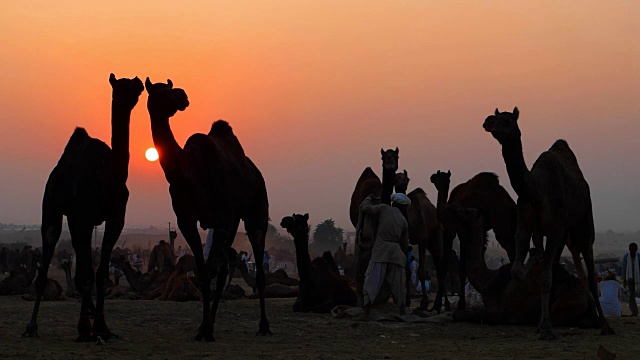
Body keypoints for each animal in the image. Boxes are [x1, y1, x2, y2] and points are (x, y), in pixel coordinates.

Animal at [145, 76, 270, 340]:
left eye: (170, 88)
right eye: (160, 91)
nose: (182, 95)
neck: (189, 174)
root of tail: (255, 171)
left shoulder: (221, 218)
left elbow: (210, 270)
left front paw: (206, 329)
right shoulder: (187, 221)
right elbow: (203, 272)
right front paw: (203, 327)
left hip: (256, 207)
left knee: (255, 257)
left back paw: (264, 325)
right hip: (232, 221)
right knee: (225, 261)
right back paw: (212, 320)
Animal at [428, 171, 516, 312]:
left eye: (438, 175)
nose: (431, 177)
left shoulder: (451, 230)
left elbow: (448, 265)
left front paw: (441, 305)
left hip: (501, 224)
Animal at [442, 202, 596, 330]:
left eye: (468, 211)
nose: (452, 206)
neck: (487, 278)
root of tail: (587, 296)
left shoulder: (496, 313)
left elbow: (458, 314)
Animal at [482, 106, 612, 338]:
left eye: (506, 121)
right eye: (494, 116)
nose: (487, 121)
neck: (536, 191)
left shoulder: (555, 230)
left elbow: (545, 279)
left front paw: (546, 329)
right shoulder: (526, 227)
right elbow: (520, 271)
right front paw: (543, 324)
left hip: (584, 224)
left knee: (589, 268)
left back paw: (605, 326)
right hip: (564, 235)